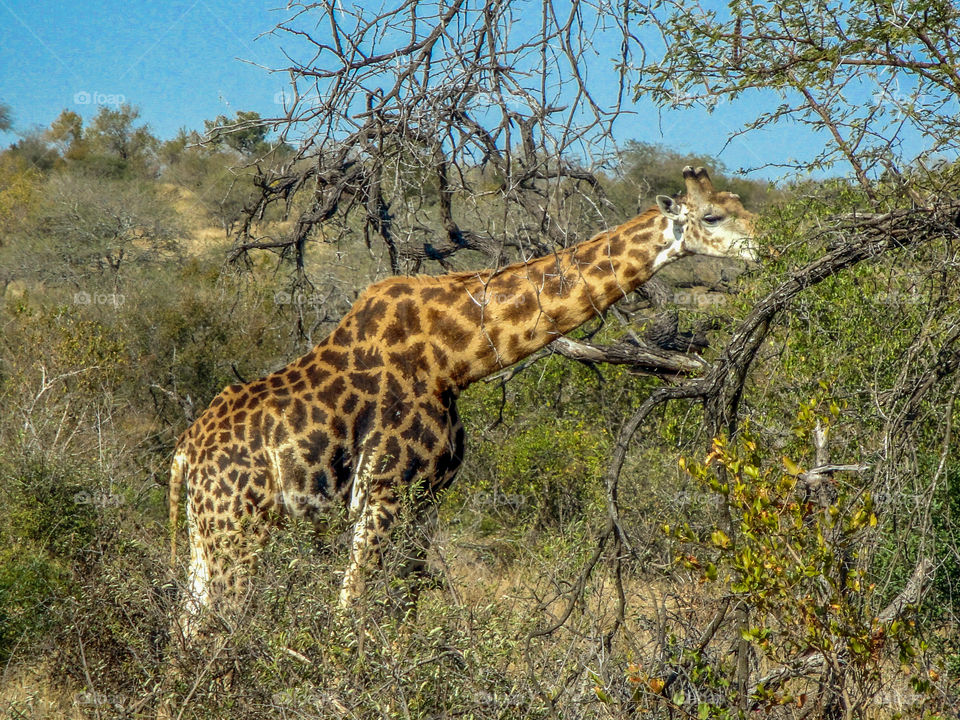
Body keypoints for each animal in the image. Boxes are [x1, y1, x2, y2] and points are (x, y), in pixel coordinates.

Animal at [169, 166, 756, 628]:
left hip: (208, 535)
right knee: (215, 625)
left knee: (188, 623)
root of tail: (182, 455)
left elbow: (402, 608)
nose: (763, 244)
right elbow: (353, 610)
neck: (453, 360)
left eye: (739, 204)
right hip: (239, 529)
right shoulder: (385, 493)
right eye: (712, 217)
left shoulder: (426, 498)